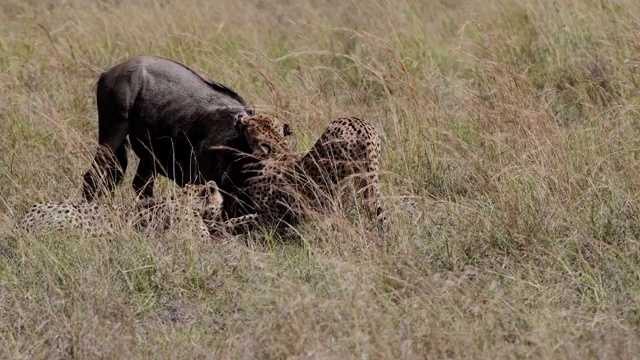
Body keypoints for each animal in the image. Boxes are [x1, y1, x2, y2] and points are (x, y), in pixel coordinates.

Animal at [234, 115, 384, 231]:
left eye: (249, 125)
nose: (240, 118)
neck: (280, 151)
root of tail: (360, 123)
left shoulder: (271, 217)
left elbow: (241, 220)